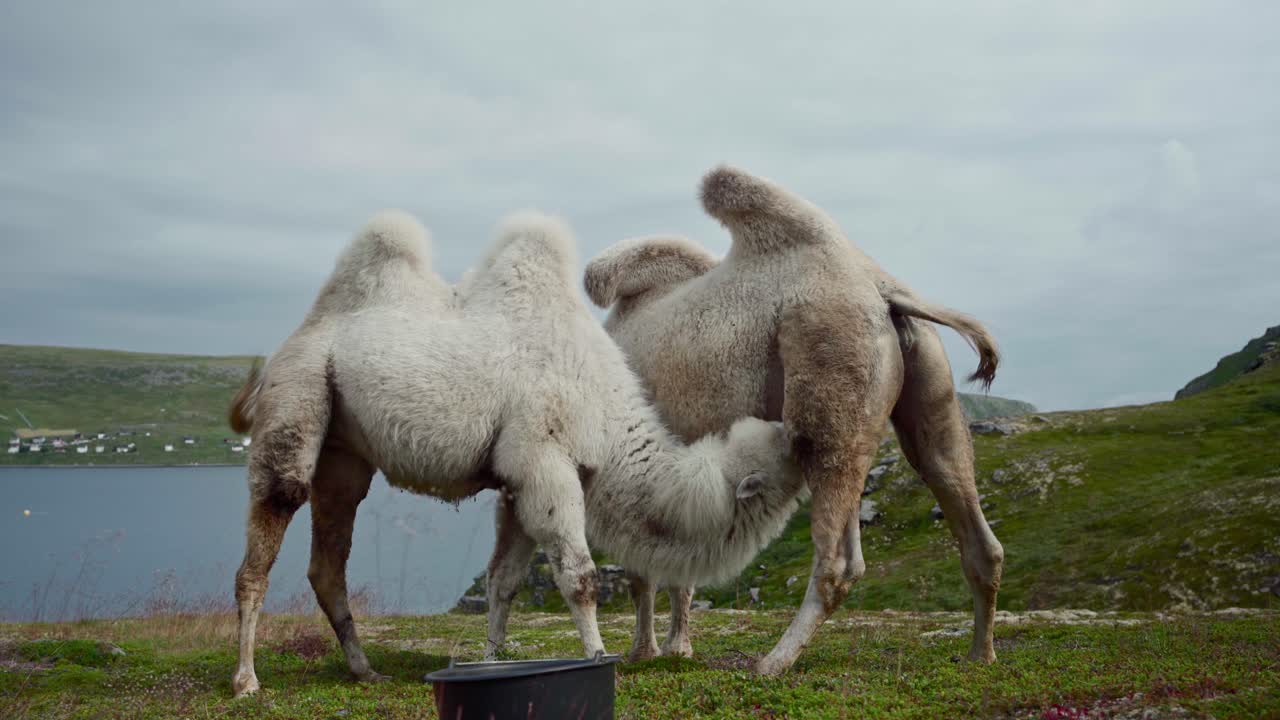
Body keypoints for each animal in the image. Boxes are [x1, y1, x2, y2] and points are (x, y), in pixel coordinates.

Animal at [226, 209, 808, 697]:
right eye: (785, 455)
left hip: (344, 452)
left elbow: (503, 580)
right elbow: (580, 576)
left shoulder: (517, 482)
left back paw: (364, 669)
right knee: (267, 530)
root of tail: (294, 339)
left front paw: (493, 659)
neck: (608, 416)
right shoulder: (545, 462)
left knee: (328, 561)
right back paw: (247, 680)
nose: (808, 437)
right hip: (296, 394)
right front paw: (597, 657)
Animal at [583, 165, 1005, 674]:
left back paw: (772, 662)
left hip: (828, 370)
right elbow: (673, 568)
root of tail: (884, 290)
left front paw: (645, 651)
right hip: (923, 382)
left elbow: (643, 568)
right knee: (960, 502)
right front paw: (675, 647)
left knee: (837, 556)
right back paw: (980, 654)